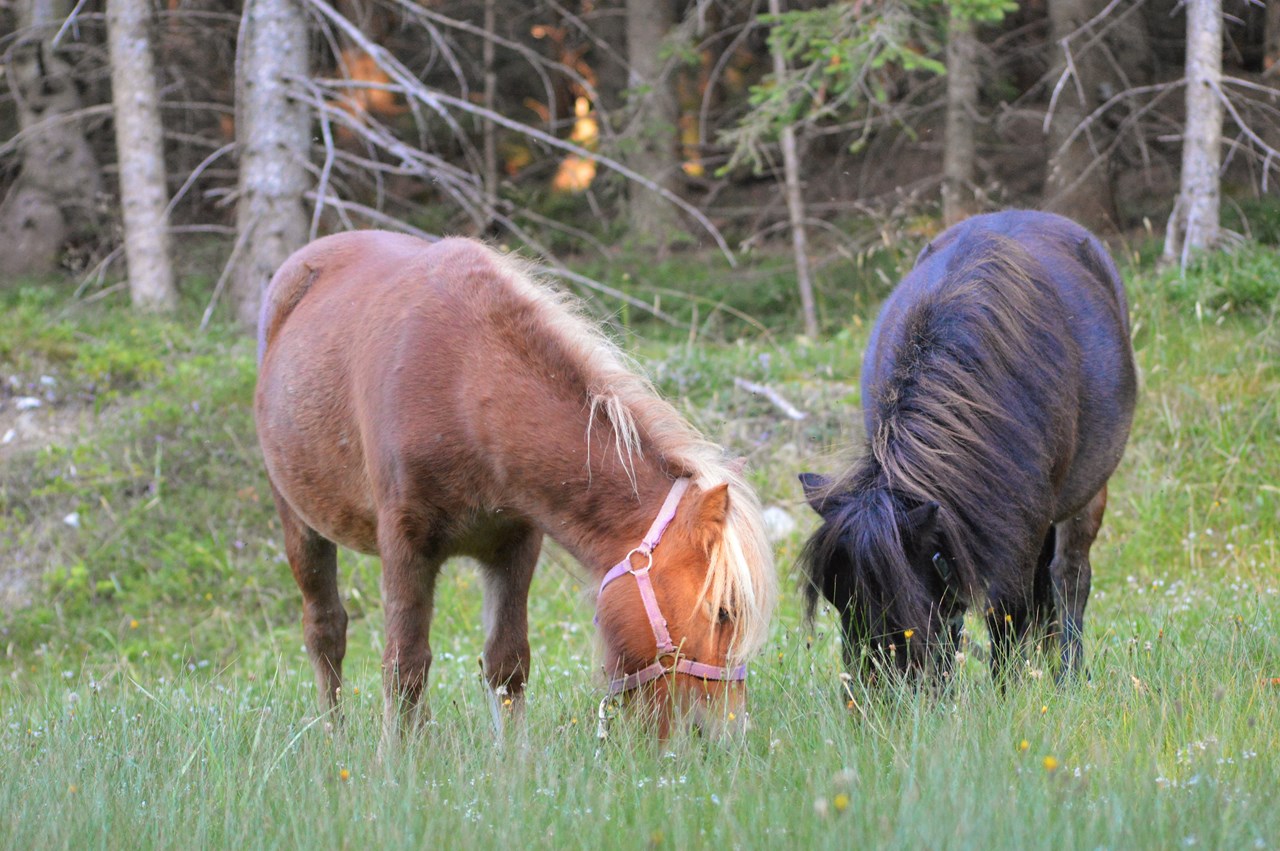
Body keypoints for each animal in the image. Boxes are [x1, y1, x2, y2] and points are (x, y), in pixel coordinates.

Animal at [254, 231, 776, 745]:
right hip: (299, 523)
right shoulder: (404, 546)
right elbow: (404, 665)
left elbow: (507, 663)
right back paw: (334, 735)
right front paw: (397, 761)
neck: (465, 384)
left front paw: (512, 760)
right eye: (724, 611)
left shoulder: (515, 546)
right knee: (326, 631)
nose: (726, 734)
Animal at [799, 210, 1136, 686]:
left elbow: (1009, 613)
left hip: (1087, 496)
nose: (874, 696)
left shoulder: (1019, 530)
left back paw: (1067, 672)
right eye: (837, 599)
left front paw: (1007, 691)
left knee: (1069, 578)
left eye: (898, 598)